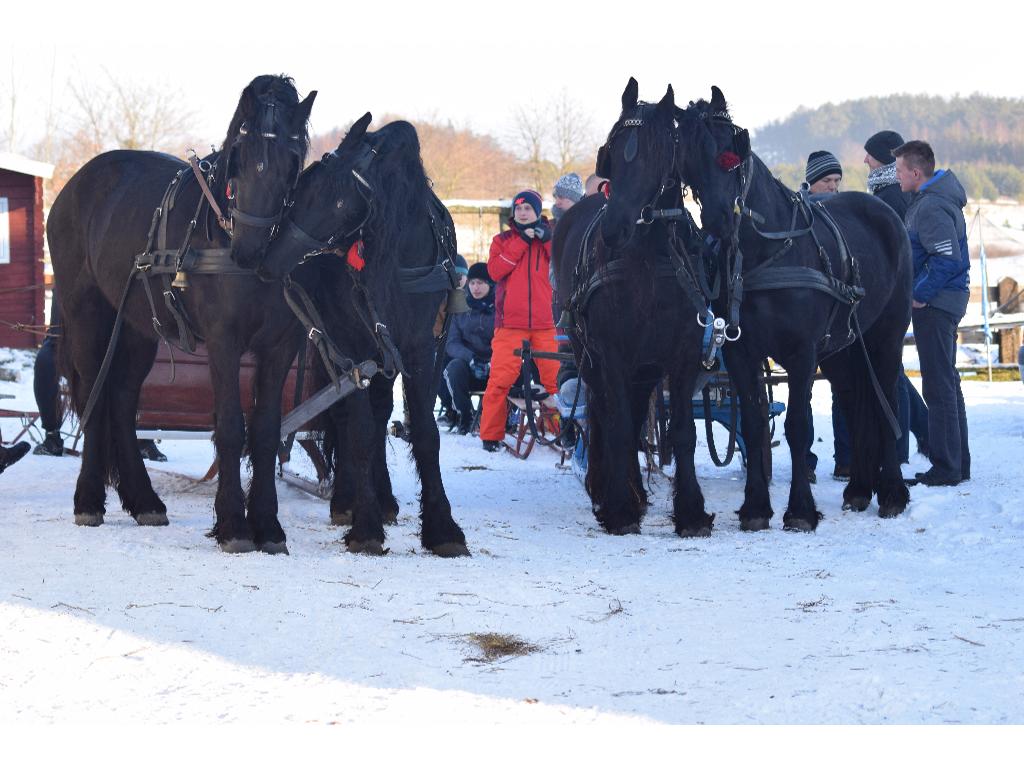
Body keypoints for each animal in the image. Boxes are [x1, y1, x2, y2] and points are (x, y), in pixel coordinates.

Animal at [50, 75, 315, 552]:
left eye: (291, 160)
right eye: (240, 154)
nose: (250, 250)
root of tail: (75, 184)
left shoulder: (279, 348)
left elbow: (267, 431)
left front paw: (268, 526)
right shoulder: (224, 341)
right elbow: (230, 428)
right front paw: (233, 527)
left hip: (137, 328)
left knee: (122, 399)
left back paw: (144, 501)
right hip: (87, 317)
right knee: (95, 397)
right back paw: (89, 501)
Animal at [264, 115, 471, 561]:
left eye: (338, 201)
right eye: (301, 188)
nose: (270, 260)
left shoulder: (418, 349)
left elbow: (423, 432)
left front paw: (442, 528)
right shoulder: (350, 346)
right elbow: (356, 428)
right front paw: (365, 525)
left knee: (379, 416)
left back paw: (384, 498)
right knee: (353, 418)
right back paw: (349, 499)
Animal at [552, 78, 712, 536]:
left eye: (659, 153)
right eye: (613, 149)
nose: (613, 229)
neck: (649, 258)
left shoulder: (683, 353)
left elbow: (681, 433)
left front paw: (691, 512)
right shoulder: (610, 351)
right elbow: (619, 425)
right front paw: (619, 509)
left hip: (645, 365)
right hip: (588, 353)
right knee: (603, 413)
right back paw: (607, 488)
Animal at [602, 83, 909, 528]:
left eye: (731, 154)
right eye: (687, 162)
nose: (717, 220)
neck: (764, 254)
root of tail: (885, 213)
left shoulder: (802, 352)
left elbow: (797, 426)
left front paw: (800, 510)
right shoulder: (742, 351)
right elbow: (751, 421)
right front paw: (756, 508)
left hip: (887, 334)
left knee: (886, 401)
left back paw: (892, 493)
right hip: (843, 347)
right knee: (856, 402)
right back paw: (858, 489)